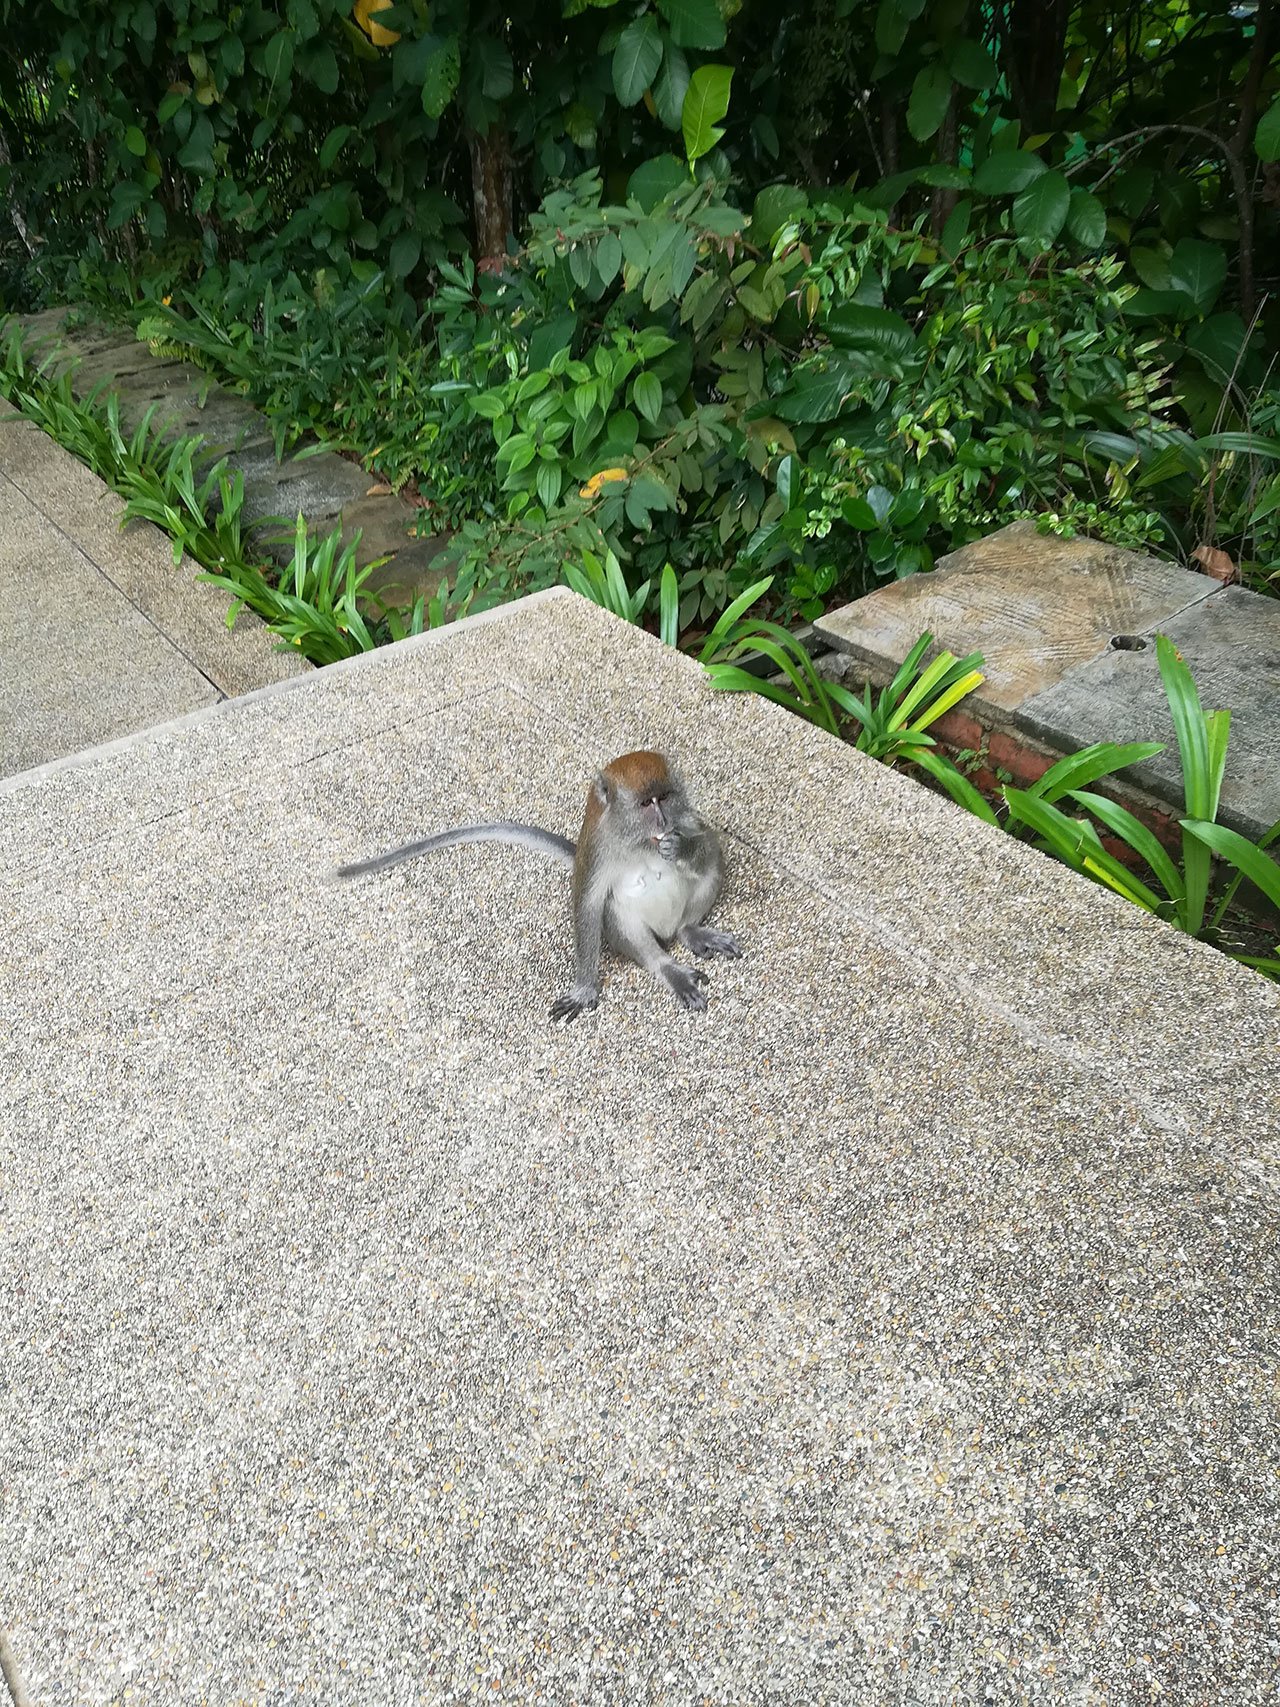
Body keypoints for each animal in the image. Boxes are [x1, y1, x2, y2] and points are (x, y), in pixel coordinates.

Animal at [332, 754, 740, 1017]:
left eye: (665, 798)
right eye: (644, 804)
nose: (662, 821)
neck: (640, 841)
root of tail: (668, 931)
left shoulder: (686, 818)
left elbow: (708, 843)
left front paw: (680, 847)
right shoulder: (598, 850)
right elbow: (588, 904)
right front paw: (585, 989)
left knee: (710, 868)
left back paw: (690, 930)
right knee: (618, 917)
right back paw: (667, 967)